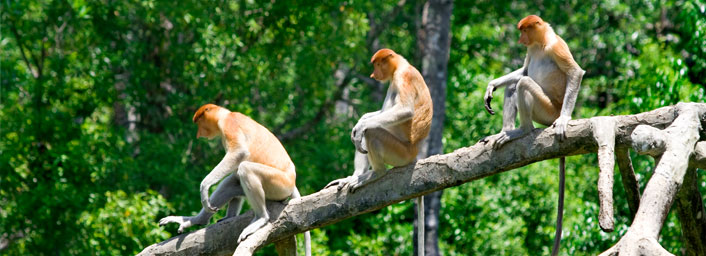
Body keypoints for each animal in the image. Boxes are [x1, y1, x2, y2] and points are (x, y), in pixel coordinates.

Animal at [328, 48, 432, 256]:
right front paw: (361, 120)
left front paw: (361, 125)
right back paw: (355, 175)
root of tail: (415, 152)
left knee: (372, 132)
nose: (373, 75)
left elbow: (404, 111)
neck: (400, 65)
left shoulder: (402, 77)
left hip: (400, 151)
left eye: (377, 64)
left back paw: (375, 173)